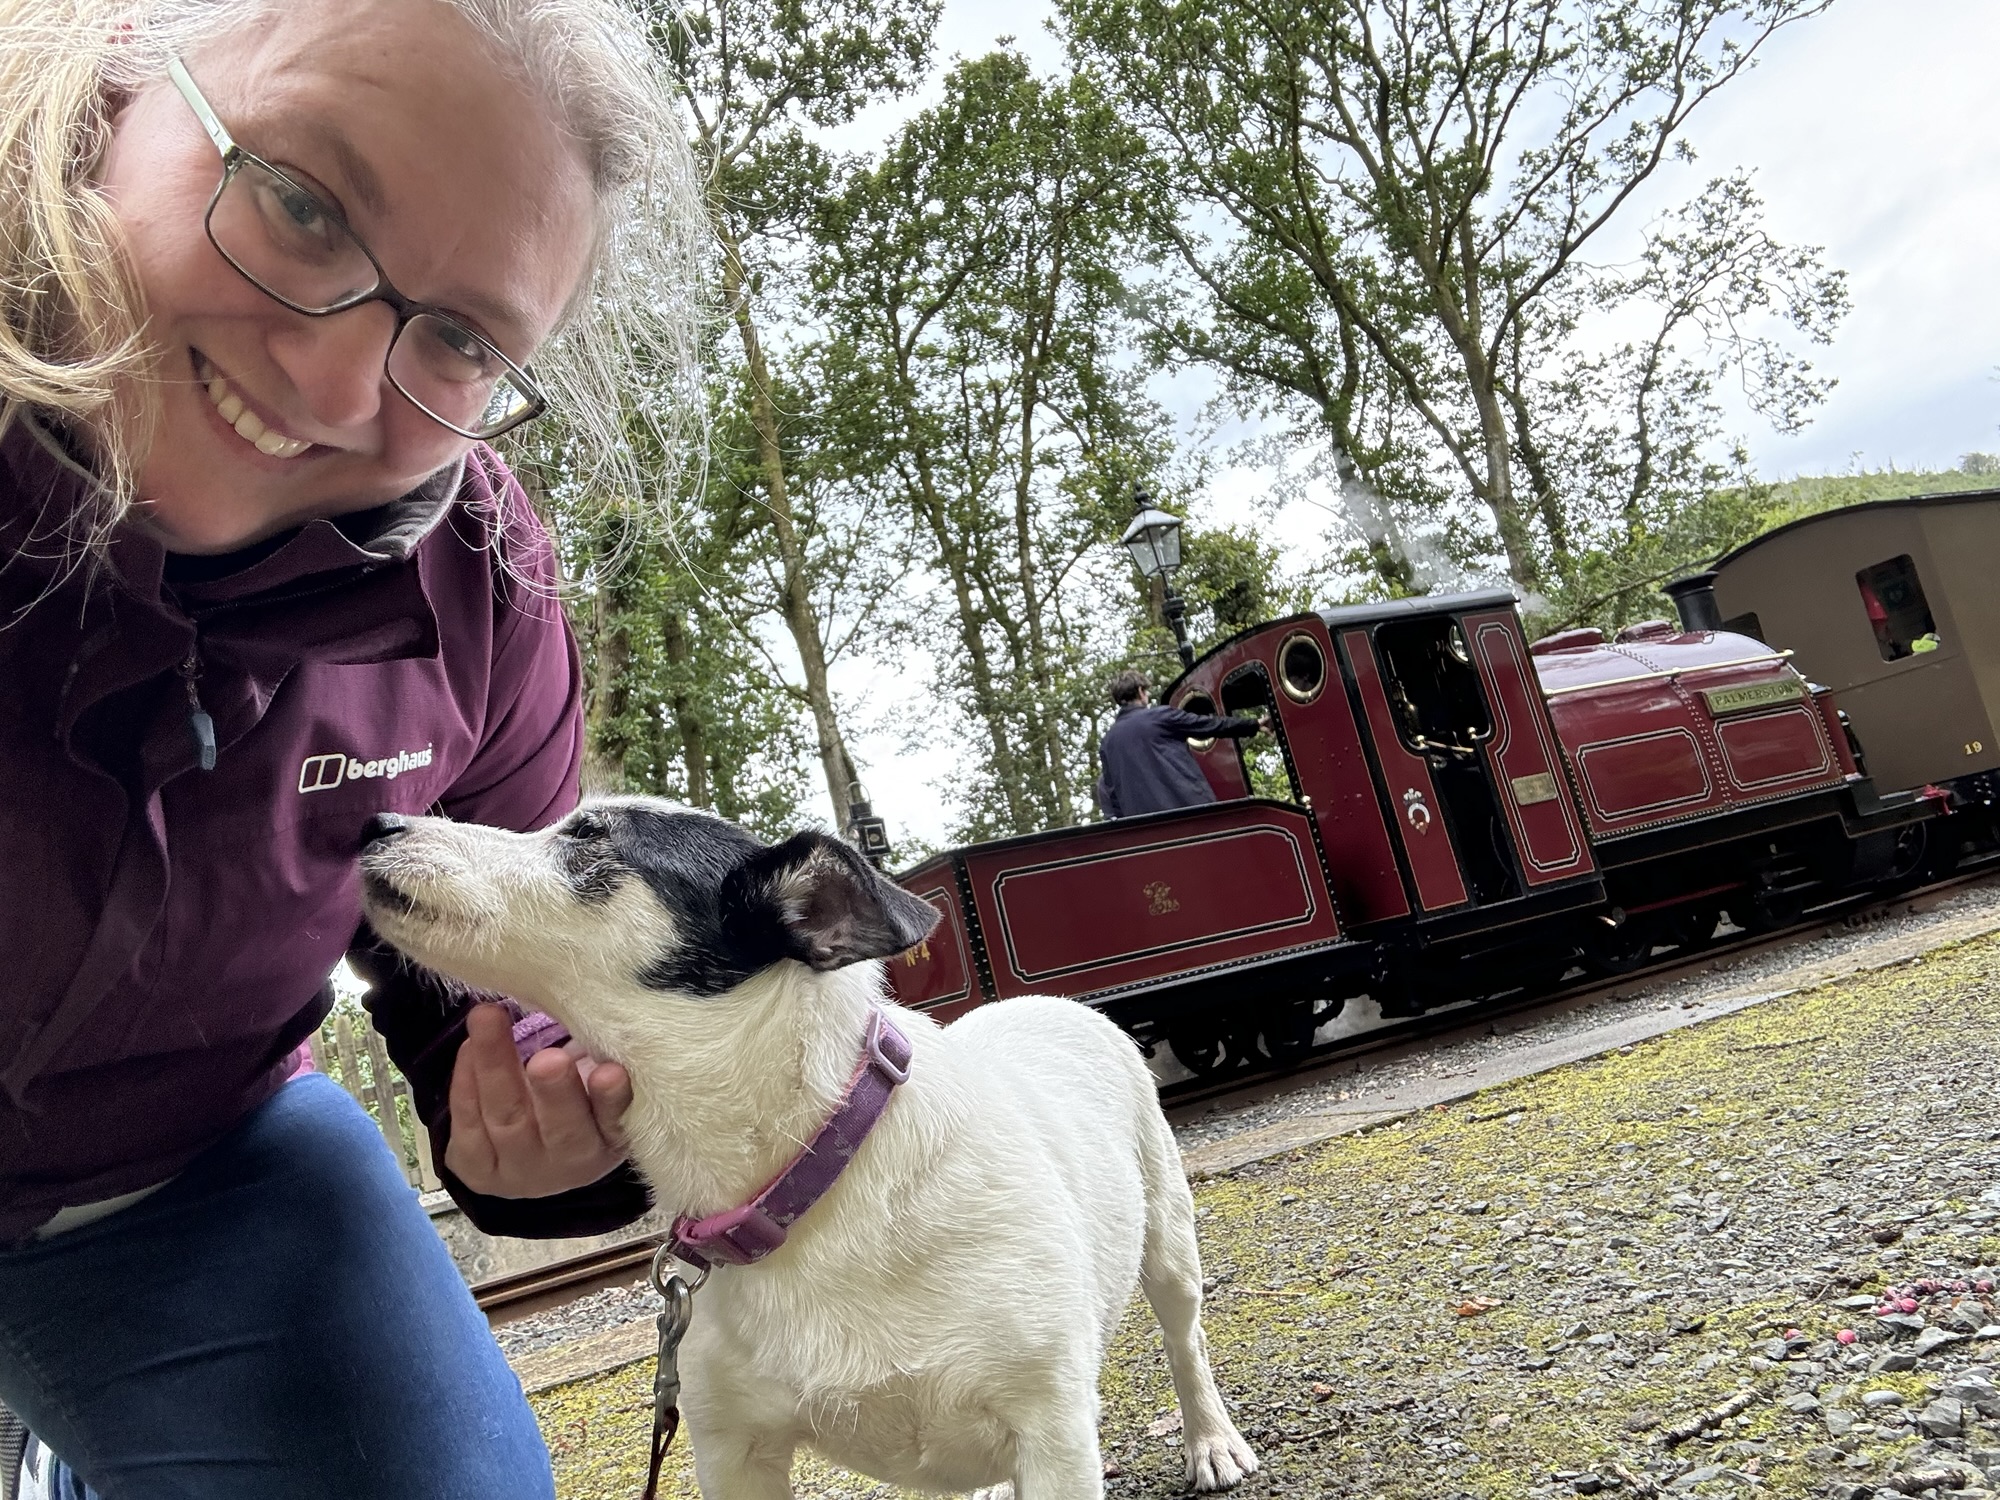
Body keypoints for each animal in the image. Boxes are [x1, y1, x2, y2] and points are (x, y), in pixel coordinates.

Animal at [364, 804, 1248, 1496]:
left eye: (586, 836)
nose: (372, 824)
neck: (810, 1169)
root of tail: (1052, 1001)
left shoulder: (1054, 1430)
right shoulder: (735, 1453)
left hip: (1168, 1240)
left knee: (1185, 1338)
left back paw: (1211, 1442)